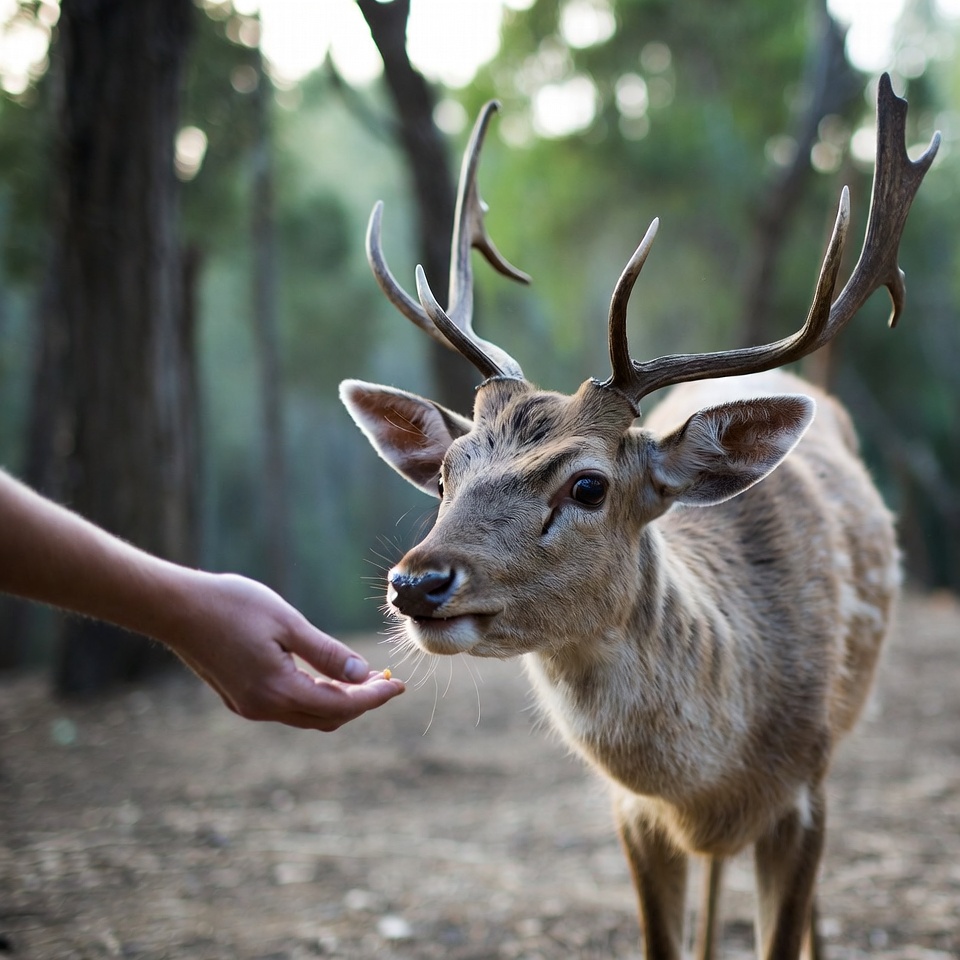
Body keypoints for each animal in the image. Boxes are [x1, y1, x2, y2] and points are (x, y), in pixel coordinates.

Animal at [339, 74, 939, 960]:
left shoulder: (805, 791)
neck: (709, 774)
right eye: (446, 474)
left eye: (588, 486)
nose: (417, 581)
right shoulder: (634, 814)